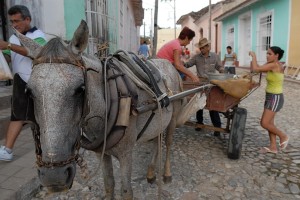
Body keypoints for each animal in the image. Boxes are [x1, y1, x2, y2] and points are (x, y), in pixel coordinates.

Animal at [19, 20, 185, 198]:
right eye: (29, 92)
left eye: (81, 89)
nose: (54, 176)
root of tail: (169, 64)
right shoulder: (102, 153)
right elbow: (109, 184)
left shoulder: (126, 154)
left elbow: (126, 191)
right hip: (158, 120)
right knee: (156, 141)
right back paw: (151, 173)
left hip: (173, 117)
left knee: (167, 142)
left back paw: (166, 174)